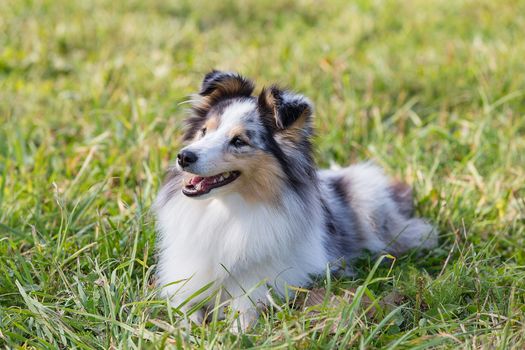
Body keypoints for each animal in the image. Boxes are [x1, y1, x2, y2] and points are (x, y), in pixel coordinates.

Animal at [154, 70, 436, 330]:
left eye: (239, 141)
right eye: (204, 132)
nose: (184, 157)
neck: (226, 210)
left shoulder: (257, 287)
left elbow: (243, 315)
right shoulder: (186, 282)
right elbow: (184, 314)